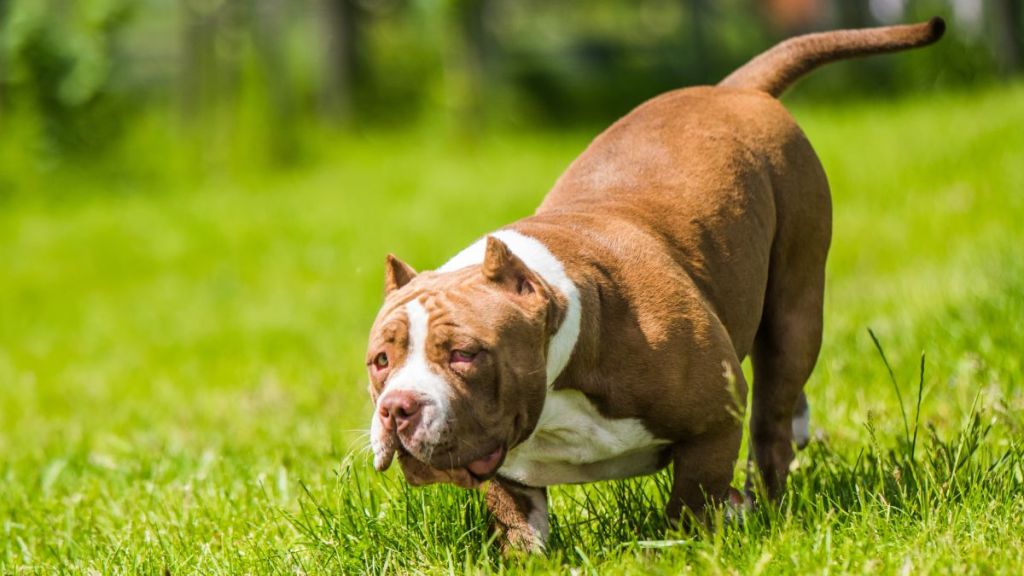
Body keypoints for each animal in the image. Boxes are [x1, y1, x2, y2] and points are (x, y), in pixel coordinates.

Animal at [366, 16, 942, 545]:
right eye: (380, 361)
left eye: (465, 354)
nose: (396, 407)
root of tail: (735, 90)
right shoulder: (507, 467)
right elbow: (519, 526)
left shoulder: (715, 419)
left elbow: (693, 498)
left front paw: (688, 546)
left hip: (795, 300)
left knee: (771, 418)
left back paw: (764, 500)